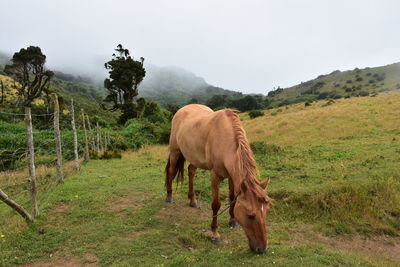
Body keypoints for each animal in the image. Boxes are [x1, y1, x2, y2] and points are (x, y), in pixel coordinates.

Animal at [164, 103, 270, 254]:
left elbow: (232, 199)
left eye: (266, 210)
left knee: (191, 171)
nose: (262, 248)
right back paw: (169, 197)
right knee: (171, 171)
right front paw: (215, 234)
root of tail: (181, 110)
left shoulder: (232, 176)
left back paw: (193, 200)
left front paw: (233, 221)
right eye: (250, 215)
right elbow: (216, 205)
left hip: (194, 157)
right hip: (175, 151)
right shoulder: (215, 176)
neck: (225, 139)